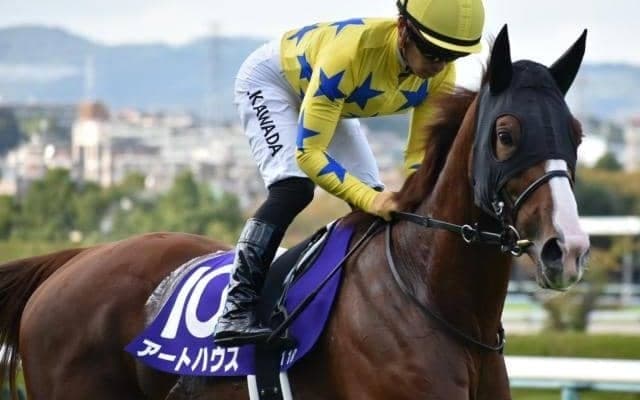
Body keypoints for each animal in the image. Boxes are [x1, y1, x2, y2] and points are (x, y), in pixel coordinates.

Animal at [0, 25, 590, 400]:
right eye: (506, 134)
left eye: (577, 134)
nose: (568, 248)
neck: (432, 298)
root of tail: (70, 262)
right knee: (288, 184)